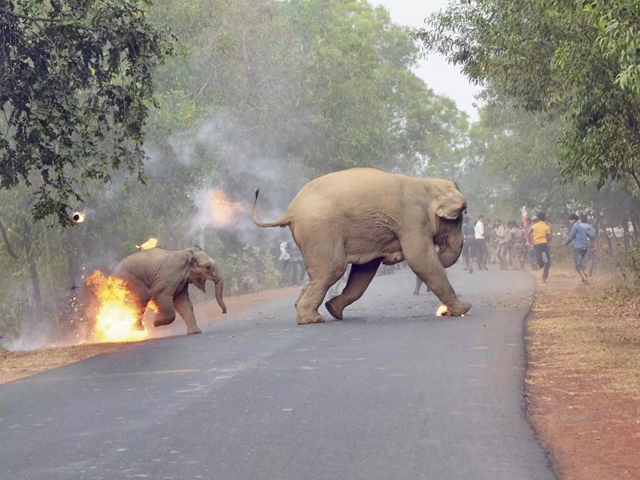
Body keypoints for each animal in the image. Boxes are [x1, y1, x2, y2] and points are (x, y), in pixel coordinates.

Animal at [251, 167, 470, 324]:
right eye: (458, 220)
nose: (440, 249)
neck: (427, 184)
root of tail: (291, 210)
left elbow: (364, 271)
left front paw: (333, 309)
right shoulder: (412, 220)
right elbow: (420, 259)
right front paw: (464, 309)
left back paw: (315, 310)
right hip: (320, 231)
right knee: (333, 269)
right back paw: (312, 320)